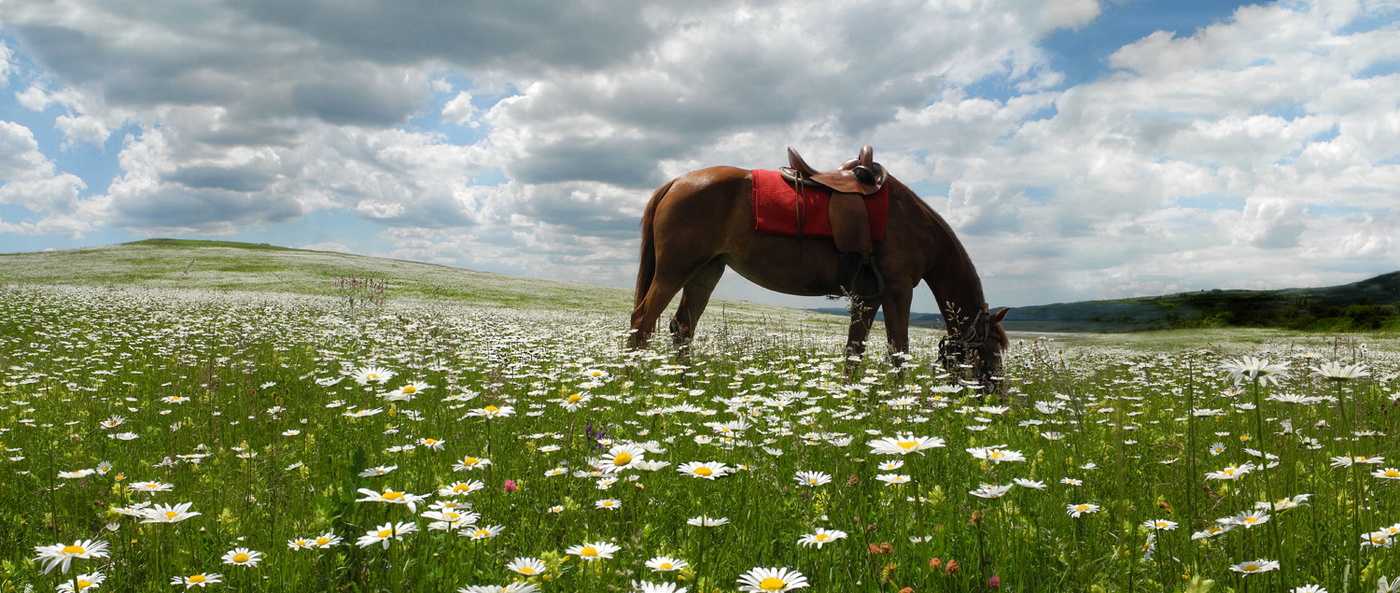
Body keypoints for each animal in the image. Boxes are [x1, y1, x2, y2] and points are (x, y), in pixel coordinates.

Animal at [630, 156, 1013, 383]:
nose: (997, 398)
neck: (918, 225)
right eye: (992, 348)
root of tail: (676, 182)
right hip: (673, 271)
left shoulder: (867, 297)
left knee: (681, 328)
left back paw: (685, 386)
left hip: (706, 272)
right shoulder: (898, 290)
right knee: (642, 322)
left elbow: (855, 350)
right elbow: (898, 351)